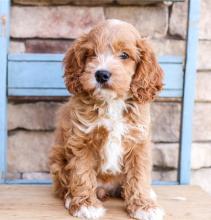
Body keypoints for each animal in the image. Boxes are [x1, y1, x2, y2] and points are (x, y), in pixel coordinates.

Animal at [49, 19, 165, 220]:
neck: (112, 101)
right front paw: (85, 205)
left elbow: (139, 175)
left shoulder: (138, 141)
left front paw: (144, 206)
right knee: (63, 185)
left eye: (124, 55)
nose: (101, 74)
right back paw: (72, 197)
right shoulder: (82, 140)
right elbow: (82, 172)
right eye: (91, 54)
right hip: (58, 160)